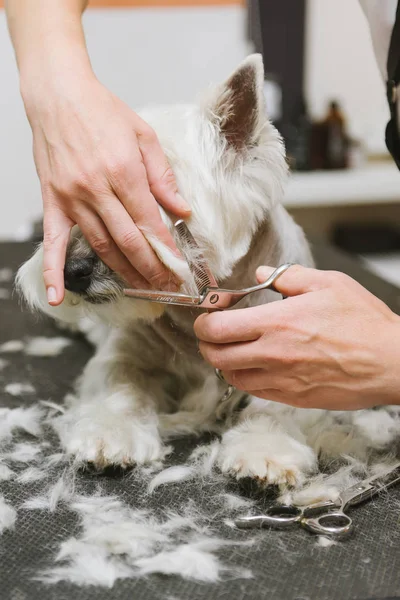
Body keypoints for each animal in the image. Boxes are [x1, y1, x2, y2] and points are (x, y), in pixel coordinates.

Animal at [16, 54, 390, 490]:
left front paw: (264, 449)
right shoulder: (125, 350)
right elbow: (121, 381)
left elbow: (278, 402)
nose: (71, 271)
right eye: (85, 200)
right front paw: (110, 434)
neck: (195, 317)